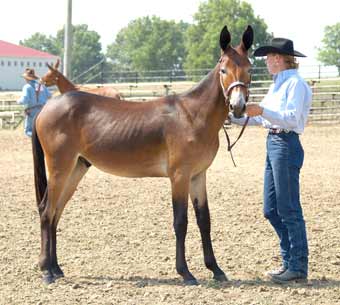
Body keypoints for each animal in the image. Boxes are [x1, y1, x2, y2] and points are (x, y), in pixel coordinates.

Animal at [31, 25, 254, 284]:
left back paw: (56, 268)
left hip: (76, 168)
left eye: (249, 69)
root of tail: (46, 108)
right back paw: (46, 270)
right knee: (47, 211)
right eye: (223, 69)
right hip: (60, 168)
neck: (192, 115)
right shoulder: (179, 176)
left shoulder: (198, 176)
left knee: (56, 212)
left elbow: (204, 220)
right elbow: (181, 222)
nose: (238, 106)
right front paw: (185, 272)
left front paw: (216, 269)